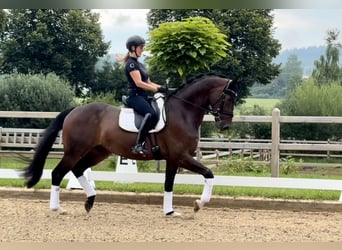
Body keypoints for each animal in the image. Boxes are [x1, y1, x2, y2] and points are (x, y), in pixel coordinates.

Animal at [22, 73, 238, 216]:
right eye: (228, 98)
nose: (226, 126)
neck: (183, 111)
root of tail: (74, 110)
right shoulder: (181, 156)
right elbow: (209, 173)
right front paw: (199, 204)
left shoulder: (173, 159)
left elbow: (169, 184)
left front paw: (170, 211)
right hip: (75, 151)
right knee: (58, 173)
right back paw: (57, 208)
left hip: (98, 151)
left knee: (78, 169)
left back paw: (90, 201)